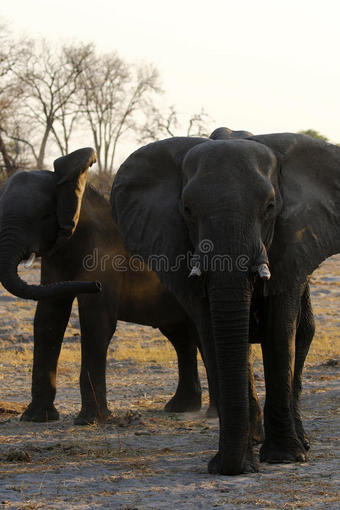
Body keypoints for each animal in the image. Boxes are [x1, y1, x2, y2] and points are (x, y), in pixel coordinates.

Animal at [110, 131, 328, 474]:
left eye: (270, 207)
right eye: (187, 209)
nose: (230, 467)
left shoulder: (290, 245)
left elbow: (280, 332)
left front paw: (283, 458)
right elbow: (212, 333)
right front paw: (233, 463)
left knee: (303, 334)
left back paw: (300, 444)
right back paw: (255, 438)